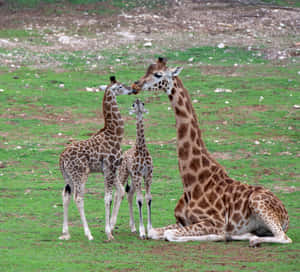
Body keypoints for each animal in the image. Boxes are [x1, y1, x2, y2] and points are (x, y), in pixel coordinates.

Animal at [58, 76, 136, 240]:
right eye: (120, 86)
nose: (132, 89)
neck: (115, 134)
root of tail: (61, 159)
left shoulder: (112, 169)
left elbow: (120, 192)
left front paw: (111, 226)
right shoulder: (109, 168)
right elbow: (108, 198)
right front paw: (108, 232)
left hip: (68, 177)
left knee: (66, 196)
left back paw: (66, 232)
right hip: (80, 174)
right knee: (78, 198)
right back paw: (88, 234)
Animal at [119, 99, 154, 239]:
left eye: (142, 104)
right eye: (133, 105)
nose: (137, 100)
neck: (142, 149)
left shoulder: (148, 175)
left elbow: (148, 198)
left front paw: (150, 229)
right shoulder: (139, 175)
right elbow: (139, 200)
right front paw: (142, 231)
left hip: (133, 178)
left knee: (129, 194)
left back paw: (133, 227)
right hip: (124, 174)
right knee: (119, 194)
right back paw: (111, 226)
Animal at [132, 57, 292, 246]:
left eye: (158, 74)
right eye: (146, 70)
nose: (136, 84)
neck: (191, 182)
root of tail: (286, 214)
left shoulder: (214, 221)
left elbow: (170, 234)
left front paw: (222, 236)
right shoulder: (182, 221)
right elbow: (154, 232)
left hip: (258, 202)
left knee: (284, 238)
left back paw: (251, 240)